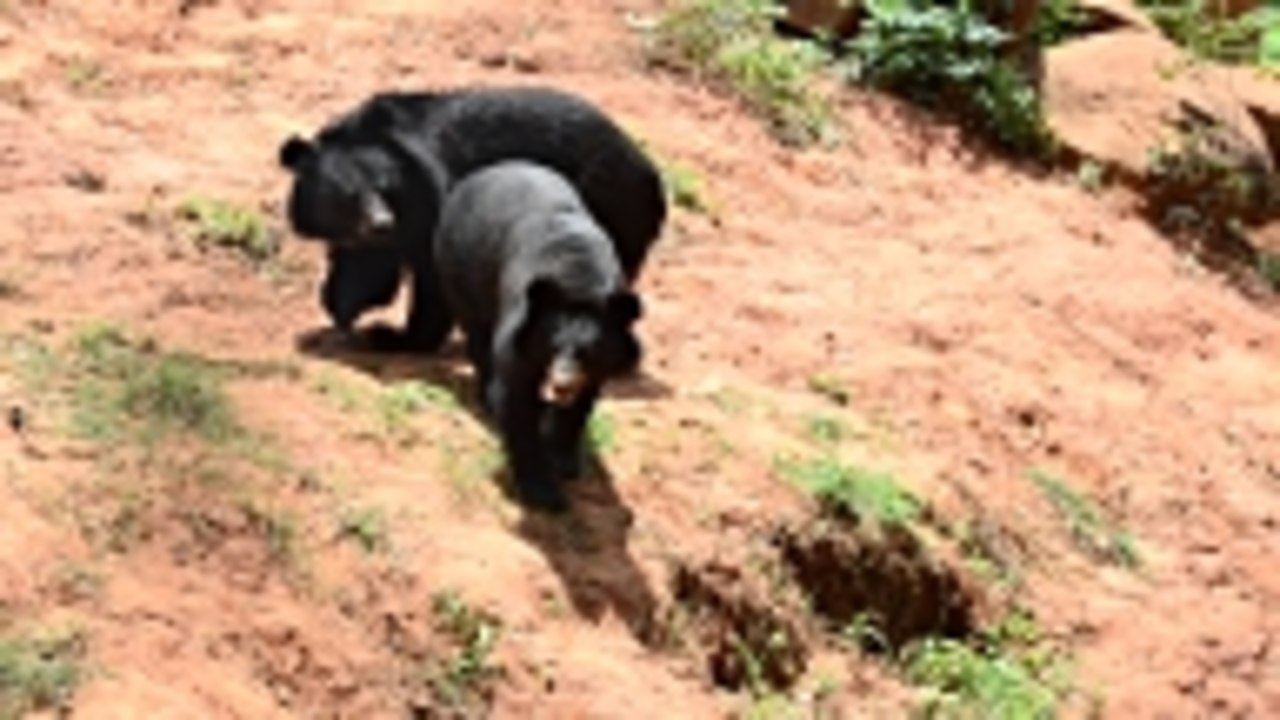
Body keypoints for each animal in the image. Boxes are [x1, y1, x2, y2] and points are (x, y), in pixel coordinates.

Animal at [278, 85, 666, 352]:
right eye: (347, 196)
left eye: (385, 188)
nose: (381, 223)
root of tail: (651, 174)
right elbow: (365, 267)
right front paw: (337, 313)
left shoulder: (433, 200)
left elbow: (434, 277)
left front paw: (395, 337)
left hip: (611, 209)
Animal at [434, 160, 644, 513]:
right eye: (553, 346)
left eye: (588, 352)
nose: (562, 385)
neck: (581, 278)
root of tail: (482, 172)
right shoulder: (519, 333)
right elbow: (516, 399)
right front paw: (544, 494)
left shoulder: (600, 365)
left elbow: (581, 405)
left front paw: (564, 462)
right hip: (461, 265)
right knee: (478, 336)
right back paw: (488, 398)